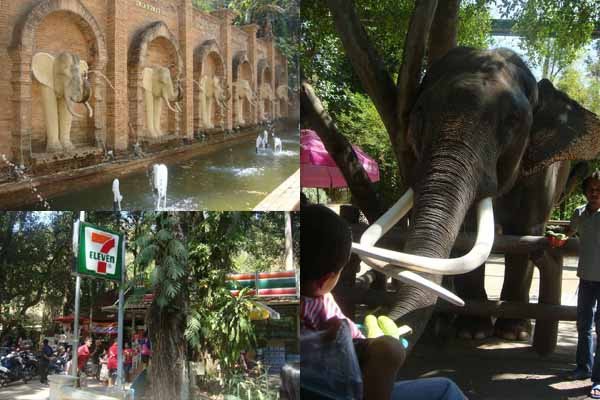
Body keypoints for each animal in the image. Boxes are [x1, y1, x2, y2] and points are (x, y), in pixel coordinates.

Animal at [352, 46, 600, 346]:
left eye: (513, 121)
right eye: (420, 112)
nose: (382, 325)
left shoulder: (542, 176)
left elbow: (525, 234)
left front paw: (513, 332)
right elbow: (468, 232)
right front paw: (472, 331)